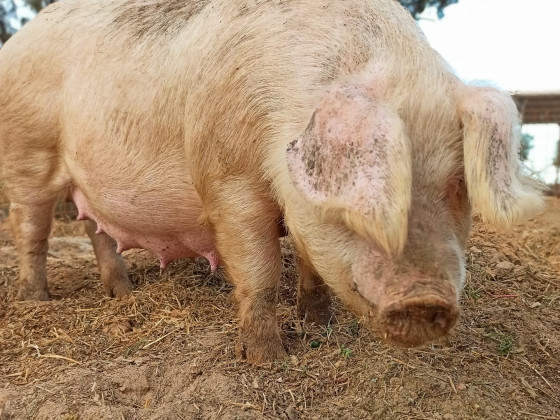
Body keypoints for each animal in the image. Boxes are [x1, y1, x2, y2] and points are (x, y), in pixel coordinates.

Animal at [0, 0, 544, 362]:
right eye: (364, 198)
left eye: (457, 184)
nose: (426, 298)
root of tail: (17, 43)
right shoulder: (229, 178)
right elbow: (258, 267)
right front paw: (269, 358)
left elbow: (307, 260)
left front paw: (319, 325)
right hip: (28, 153)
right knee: (30, 227)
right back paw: (35, 299)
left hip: (83, 182)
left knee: (95, 228)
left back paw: (124, 294)